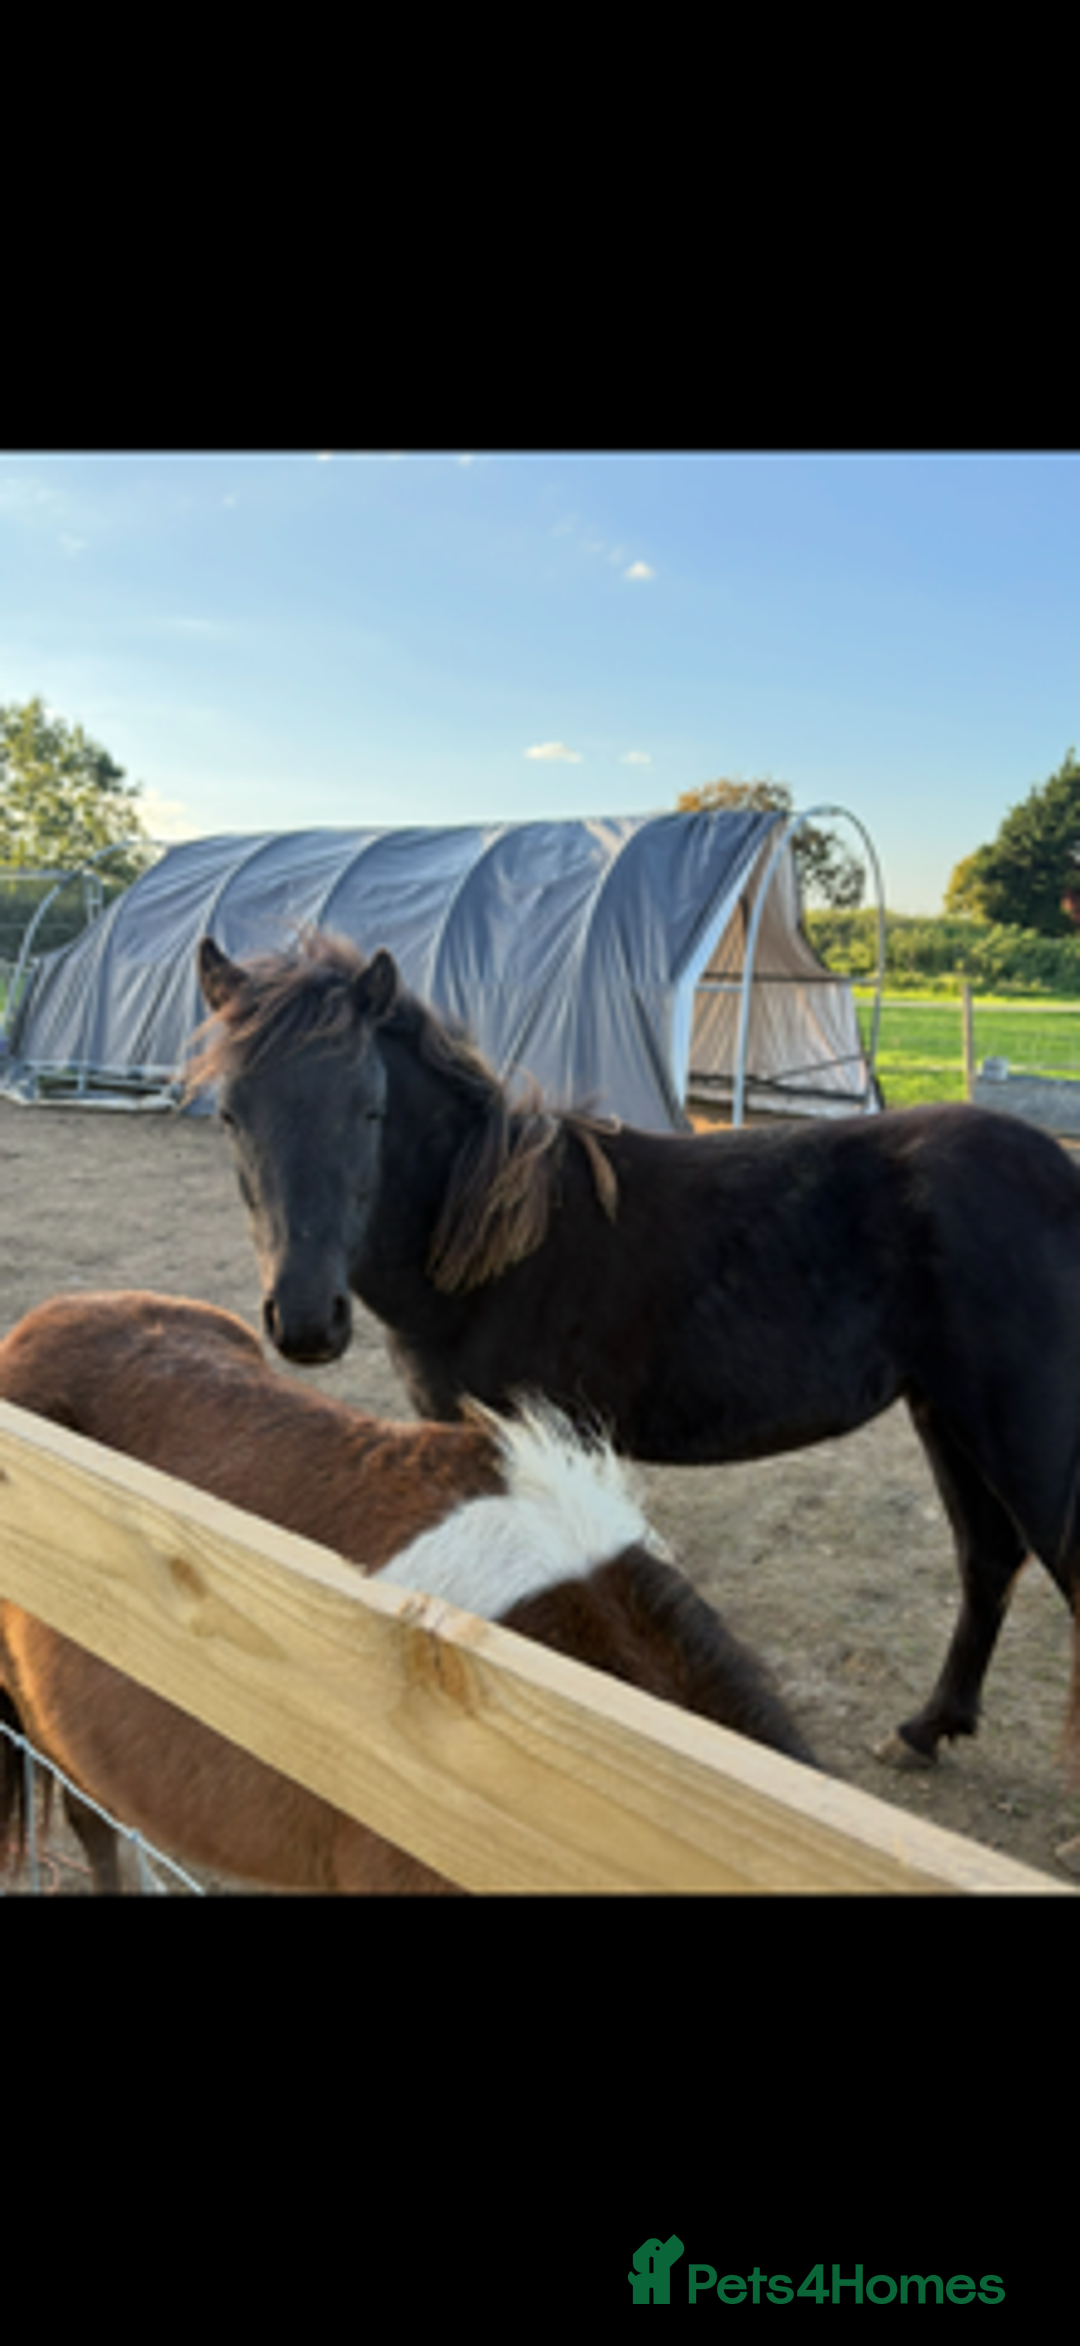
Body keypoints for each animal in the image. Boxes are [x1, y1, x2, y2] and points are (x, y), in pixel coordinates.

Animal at [192, 929, 1080, 1775]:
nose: (307, 1320)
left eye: (370, 1109)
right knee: (988, 1558)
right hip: (946, 1414)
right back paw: (926, 1730)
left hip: (1019, 1431)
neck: (490, 1250)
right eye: (231, 1114)